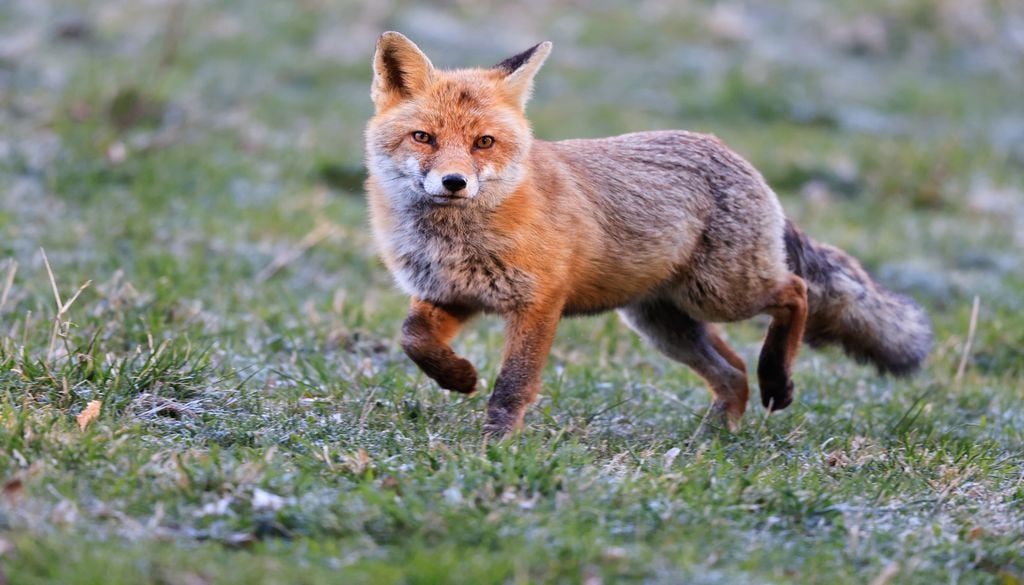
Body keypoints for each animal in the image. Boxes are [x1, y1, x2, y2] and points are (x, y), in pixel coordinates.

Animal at [364, 32, 932, 438]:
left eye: (483, 143)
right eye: (423, 137)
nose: (454, 182)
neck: (453, 240)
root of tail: (735, 156)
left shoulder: (539, 302)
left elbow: (512, 384)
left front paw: (494, 448)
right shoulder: (452, 294)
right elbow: (413, 338)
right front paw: (457, 377)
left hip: (722, 293)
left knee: (795, 293)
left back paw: (777, 379)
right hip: (665, 322)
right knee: (732, 372)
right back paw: (712, 441)